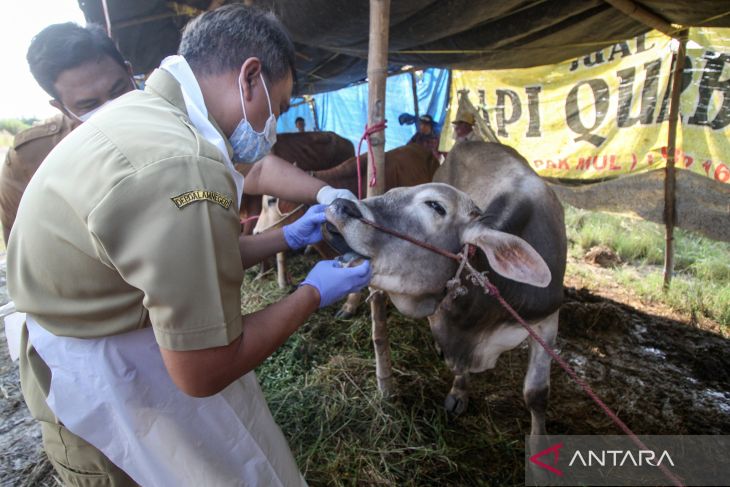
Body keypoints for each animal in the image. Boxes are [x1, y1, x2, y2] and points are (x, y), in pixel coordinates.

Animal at [324, 142, 568, 446]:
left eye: (435, 206)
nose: (340, 205)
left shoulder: (547, 321)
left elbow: (536, 393)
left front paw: (538, 444)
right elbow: (459, 366)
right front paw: (458, 393)